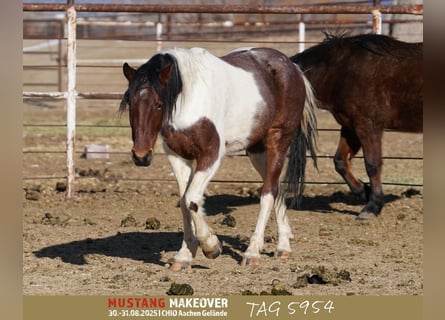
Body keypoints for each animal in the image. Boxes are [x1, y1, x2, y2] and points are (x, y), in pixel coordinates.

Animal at [119, 47, 318, 270]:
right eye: (130, 103)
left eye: (159, 105)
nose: (141, 156)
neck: (189, 97)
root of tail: (293, 68)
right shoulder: (177, 156)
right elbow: (184, 202)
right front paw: (184, 255)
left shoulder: (211, 155)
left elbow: (191, 199)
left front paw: (211, 246)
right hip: (257, 150)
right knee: (276, 187)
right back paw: (283, 246)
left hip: (278, 140)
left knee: (268, 193)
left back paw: (252, 252)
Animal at [290, 33, 422, 220]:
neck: (340, 71)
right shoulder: (350, 126)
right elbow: (340, 161)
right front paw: (363, 191)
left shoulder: (368, 125)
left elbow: (372, 165)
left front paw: (372, 207)